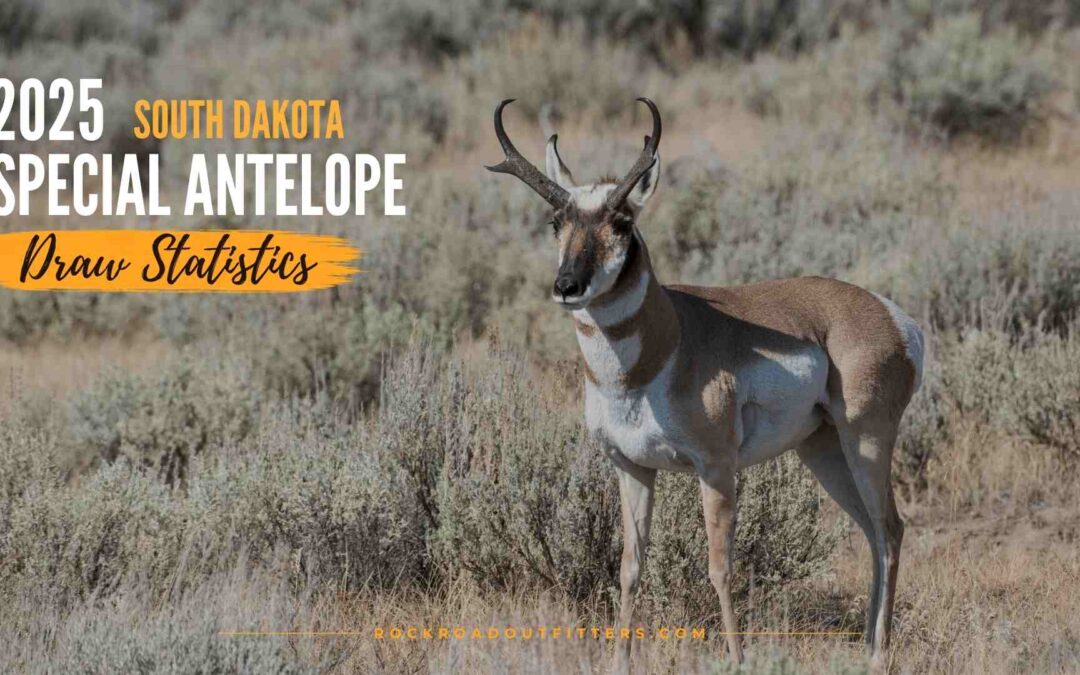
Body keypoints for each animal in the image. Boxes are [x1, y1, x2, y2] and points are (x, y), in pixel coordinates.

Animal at [486, 98, 924, 670]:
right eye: (557, 221)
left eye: (621, 222)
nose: (567, 286)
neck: (659, 350)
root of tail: (893, 316)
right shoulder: (632, 468)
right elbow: (629, 568)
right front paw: (620, 659)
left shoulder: (715, 467)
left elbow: (719, 566)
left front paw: (736, 659)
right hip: (823, 450)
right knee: (873, 531)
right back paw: (870, 645)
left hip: (866, 441)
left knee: (890, 528)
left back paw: (878, 655)